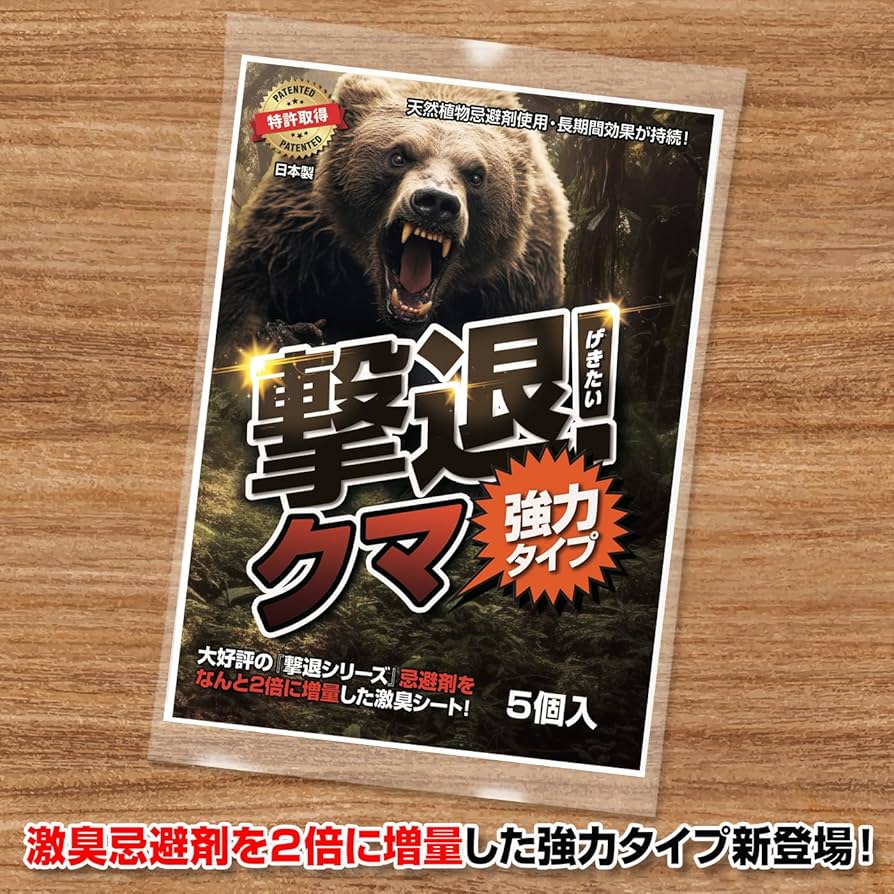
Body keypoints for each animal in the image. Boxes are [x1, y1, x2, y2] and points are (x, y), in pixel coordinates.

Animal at [217, 73, 570, 357]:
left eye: (476, 175)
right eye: (398, 156)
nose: (436, 203)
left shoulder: (516, 280)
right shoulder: (299, 235)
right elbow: (249, 285)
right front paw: (284, 334)